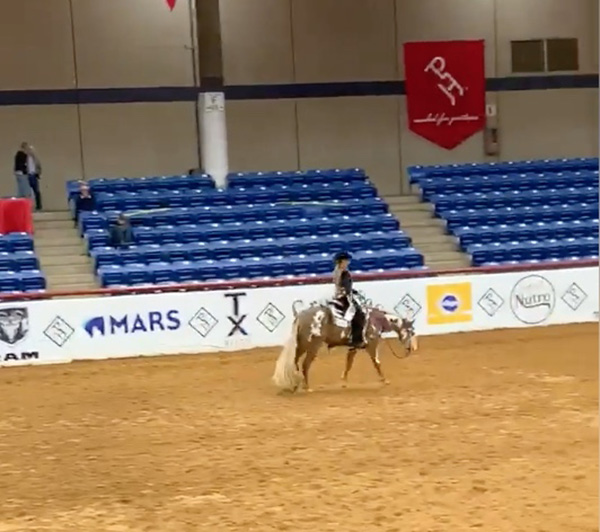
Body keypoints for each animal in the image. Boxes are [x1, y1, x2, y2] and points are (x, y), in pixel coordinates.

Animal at [272, 302, 418, 392]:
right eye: (411, 331)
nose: (410, 349)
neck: (375, 319)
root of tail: (301, 316)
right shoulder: (372, 345)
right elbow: (377, 363)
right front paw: (385, 380)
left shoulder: (353, 348)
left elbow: (349, 364)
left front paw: (344, 382)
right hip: (313, 345)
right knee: (305, 364)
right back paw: (307, 387)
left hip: (301, 345)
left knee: (295, 362)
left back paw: (295, 384)